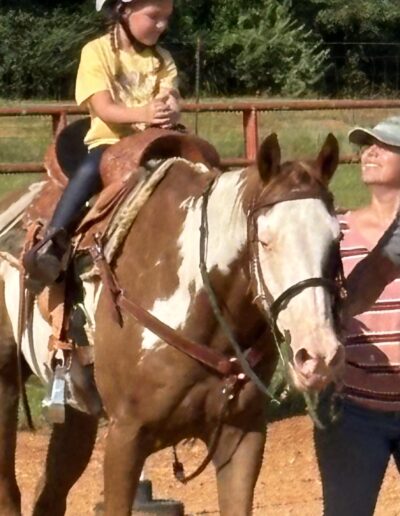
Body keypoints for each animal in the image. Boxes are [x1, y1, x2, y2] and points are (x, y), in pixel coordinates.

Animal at [0, 134, 344, 516]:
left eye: (336, 238)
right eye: (265, 240)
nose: (319, 355)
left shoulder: (243, 436)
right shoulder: (125, 436)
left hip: (77, 411)